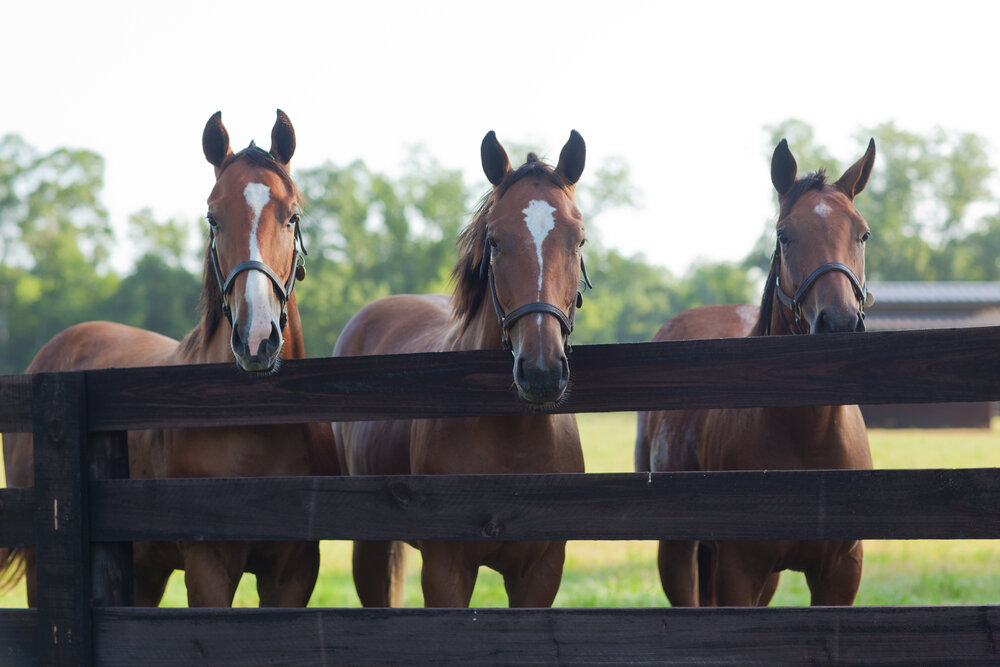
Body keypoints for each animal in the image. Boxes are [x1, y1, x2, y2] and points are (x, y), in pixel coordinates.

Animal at [1, 110, 339, 607]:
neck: (258, 424)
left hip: (144, 571)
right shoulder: (208, 566)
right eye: (213, 219)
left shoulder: (294, 571)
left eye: (292, 215)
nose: (256, 338)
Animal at [333, 130, 589, 607]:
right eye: (495, 240)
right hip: (370, 546)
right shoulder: (446, 570)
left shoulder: (540, 572)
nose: (541, 371)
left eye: (578, 240)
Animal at [635, 138, 877, 607]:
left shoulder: (840, 573)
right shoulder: (739, 571)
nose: (838, 322)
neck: (809, 437)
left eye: (862, 233)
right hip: (677, 553)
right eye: (784, 235)